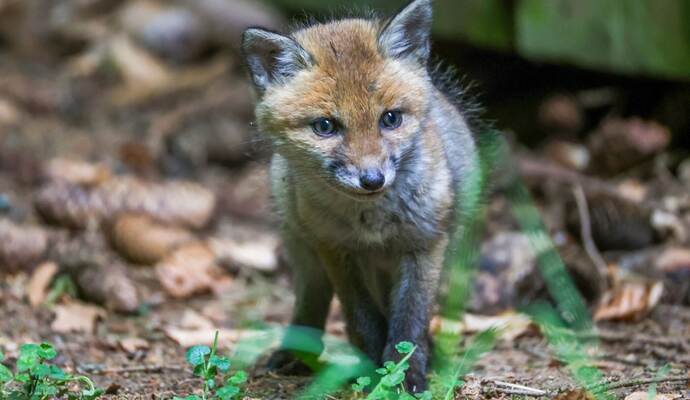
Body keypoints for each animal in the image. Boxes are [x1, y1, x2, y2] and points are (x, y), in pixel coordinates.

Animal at [241, 0, 479, 392]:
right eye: (325, 126)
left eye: (390, 119)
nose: (372, 179)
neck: (373, 222)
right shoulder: (335, 248)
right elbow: (363, 317)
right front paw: (373, 370)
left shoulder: (426, 244)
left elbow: (410, 320)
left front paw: (405, 375)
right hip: (304, 247)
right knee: (312, 302)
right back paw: (297, 353)